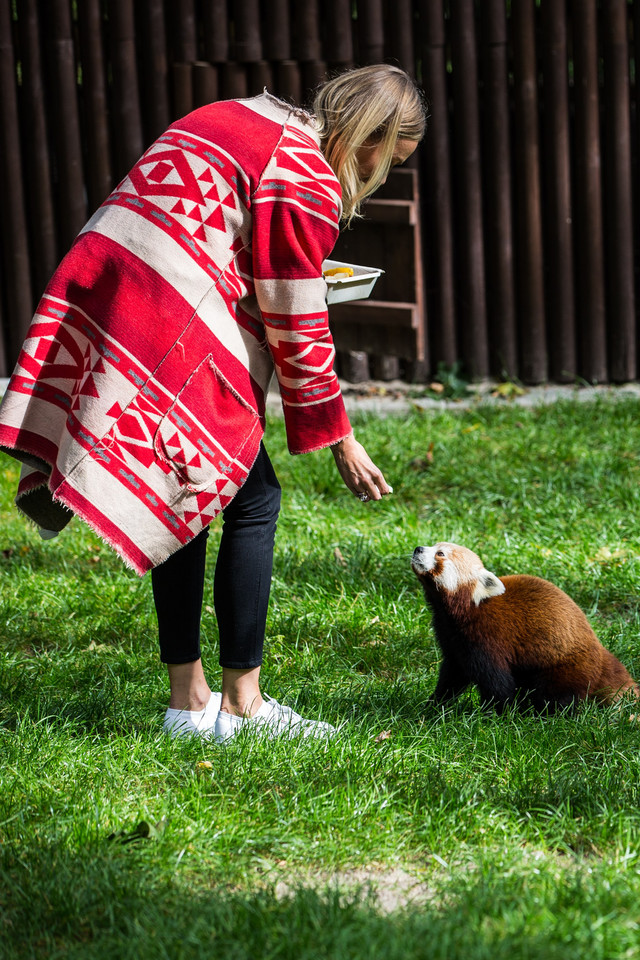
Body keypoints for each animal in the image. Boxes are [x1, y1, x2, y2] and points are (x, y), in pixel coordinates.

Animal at [412, 540, 636, 712]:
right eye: (433, 545)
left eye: (440, 553)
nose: (418, 548)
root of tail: (600, 652)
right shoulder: (453, 641)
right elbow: (452, 676)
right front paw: (434, 706)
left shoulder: (488, 639)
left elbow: (498, 686)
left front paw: (493, 717)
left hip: (565, 668)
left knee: (555, 697)